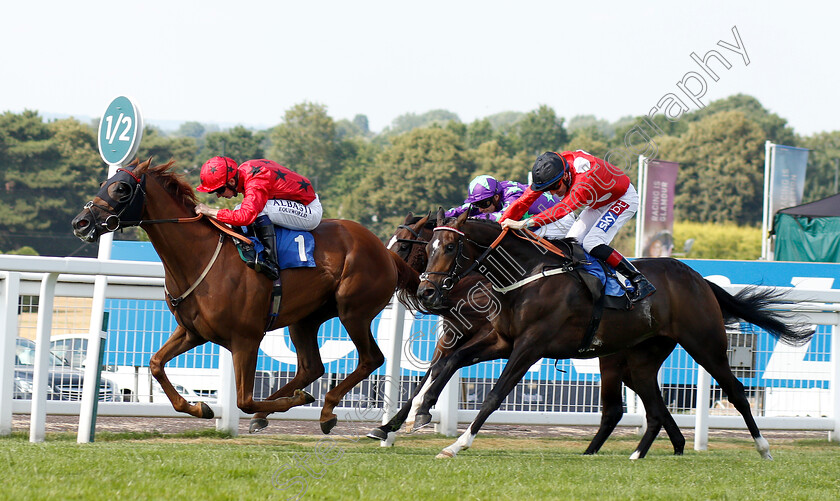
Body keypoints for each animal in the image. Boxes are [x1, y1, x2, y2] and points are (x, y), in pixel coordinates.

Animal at [72, 158, 420, 432]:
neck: (199, 257)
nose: (81, 222)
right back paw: (282, 410)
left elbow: (244, 400)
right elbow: (156, 363)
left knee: (371, 358)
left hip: (353, 311)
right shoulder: (193, 331)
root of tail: (388, 254)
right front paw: (199, 407)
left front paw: (287, 403)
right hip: (306, 319)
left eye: (121, 189)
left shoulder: (245, 339)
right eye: (104, 183)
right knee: (312, 368)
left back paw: (325, 409)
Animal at [368, 212, 684, 458]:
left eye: (405, 245)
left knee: (622, 405)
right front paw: (393, 425)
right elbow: (436, 370)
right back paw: (673, 443)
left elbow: (440, 374)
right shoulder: (465, 336)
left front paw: (402, 423)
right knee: (644, 399)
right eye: (428, 248)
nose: (426, 292)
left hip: (615, 357)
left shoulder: (504, 340)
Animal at [420, 209, 812, 458]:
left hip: (705, 344)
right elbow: (452, 360)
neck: (527, 274)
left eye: (451, 247)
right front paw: (421, 410)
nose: (426, 292)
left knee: (736, 391)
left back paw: (763, 448)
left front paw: (456, 445)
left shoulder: (530, 346)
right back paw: (639, 454)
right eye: (428, 248)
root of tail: (698, 279)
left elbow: (494, 395)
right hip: (642, 357)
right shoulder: (503, 341)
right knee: (650, 408)